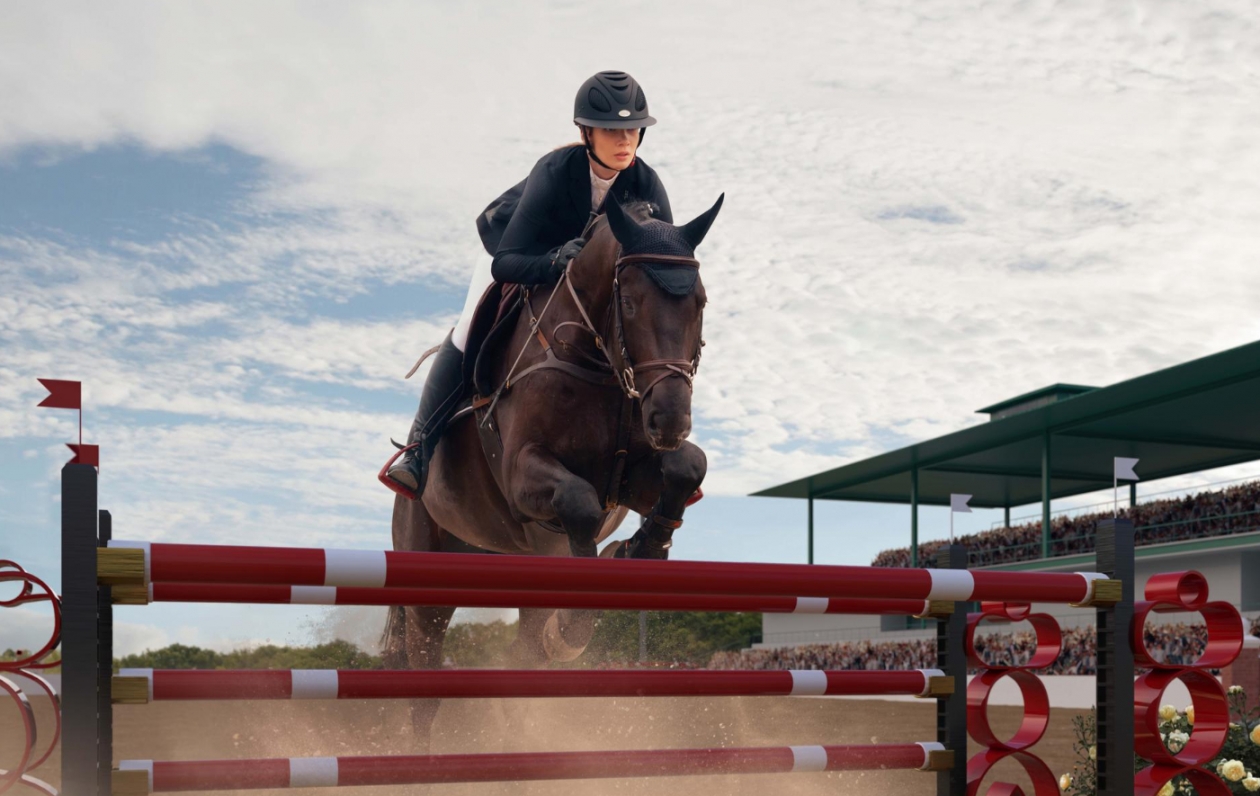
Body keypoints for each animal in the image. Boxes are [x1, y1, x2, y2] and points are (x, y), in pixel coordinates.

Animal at [378, 191, 725, 745]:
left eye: (701, 303)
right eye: (630, 302)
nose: (671, 419)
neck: (598, 362)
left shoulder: (634, 477)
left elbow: (687, 468)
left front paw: (640, 550)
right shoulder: (525, 475)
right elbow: (578, 502)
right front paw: (575, 621)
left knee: (522, 653)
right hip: (427, 568)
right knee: (423, 678)